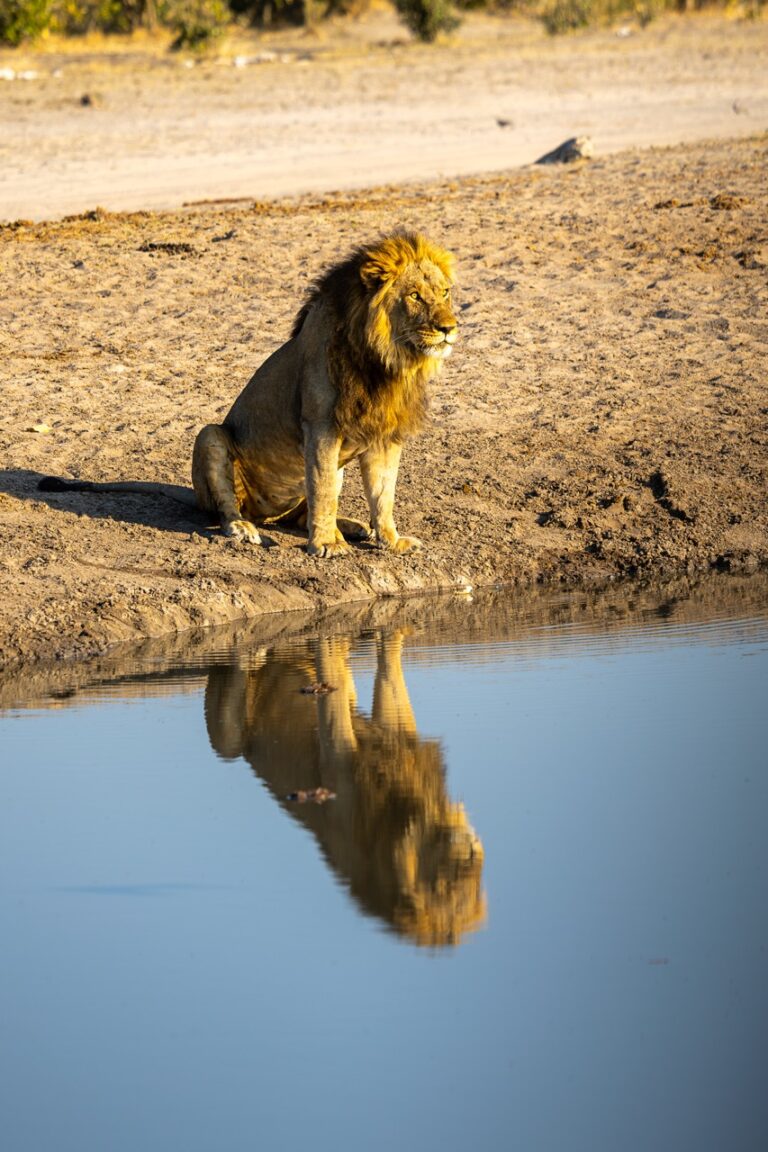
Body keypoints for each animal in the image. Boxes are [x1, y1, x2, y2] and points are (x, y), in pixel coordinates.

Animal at [40, 232, 458, 557]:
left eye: (445, 292)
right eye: (415, 296)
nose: (450, 328)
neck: (388, 362)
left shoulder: (384, 432)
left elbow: (383, 493)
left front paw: (390, 540)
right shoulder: (321, 425)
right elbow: (324, 489)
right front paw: (326, 545)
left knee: (302, 513)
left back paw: (352, 526)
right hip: (210, 437)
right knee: (230, 509)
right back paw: (245, 529)